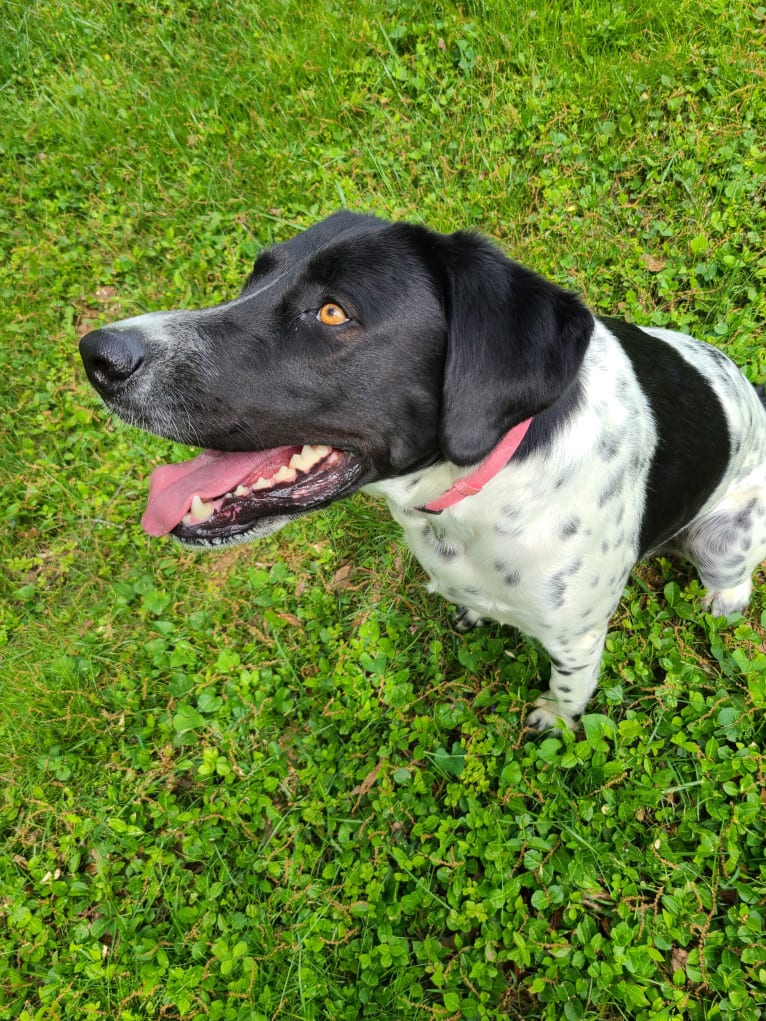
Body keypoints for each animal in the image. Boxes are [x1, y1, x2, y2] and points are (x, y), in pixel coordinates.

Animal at [79, 211, 766, 731]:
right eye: (256, 274)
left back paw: (723, 602)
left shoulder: (578, 638)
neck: (474, 496)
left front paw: (555, 719)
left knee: (733, 576)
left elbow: (569, 693)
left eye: (332, 312)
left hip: (725, 536)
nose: (97, 355)